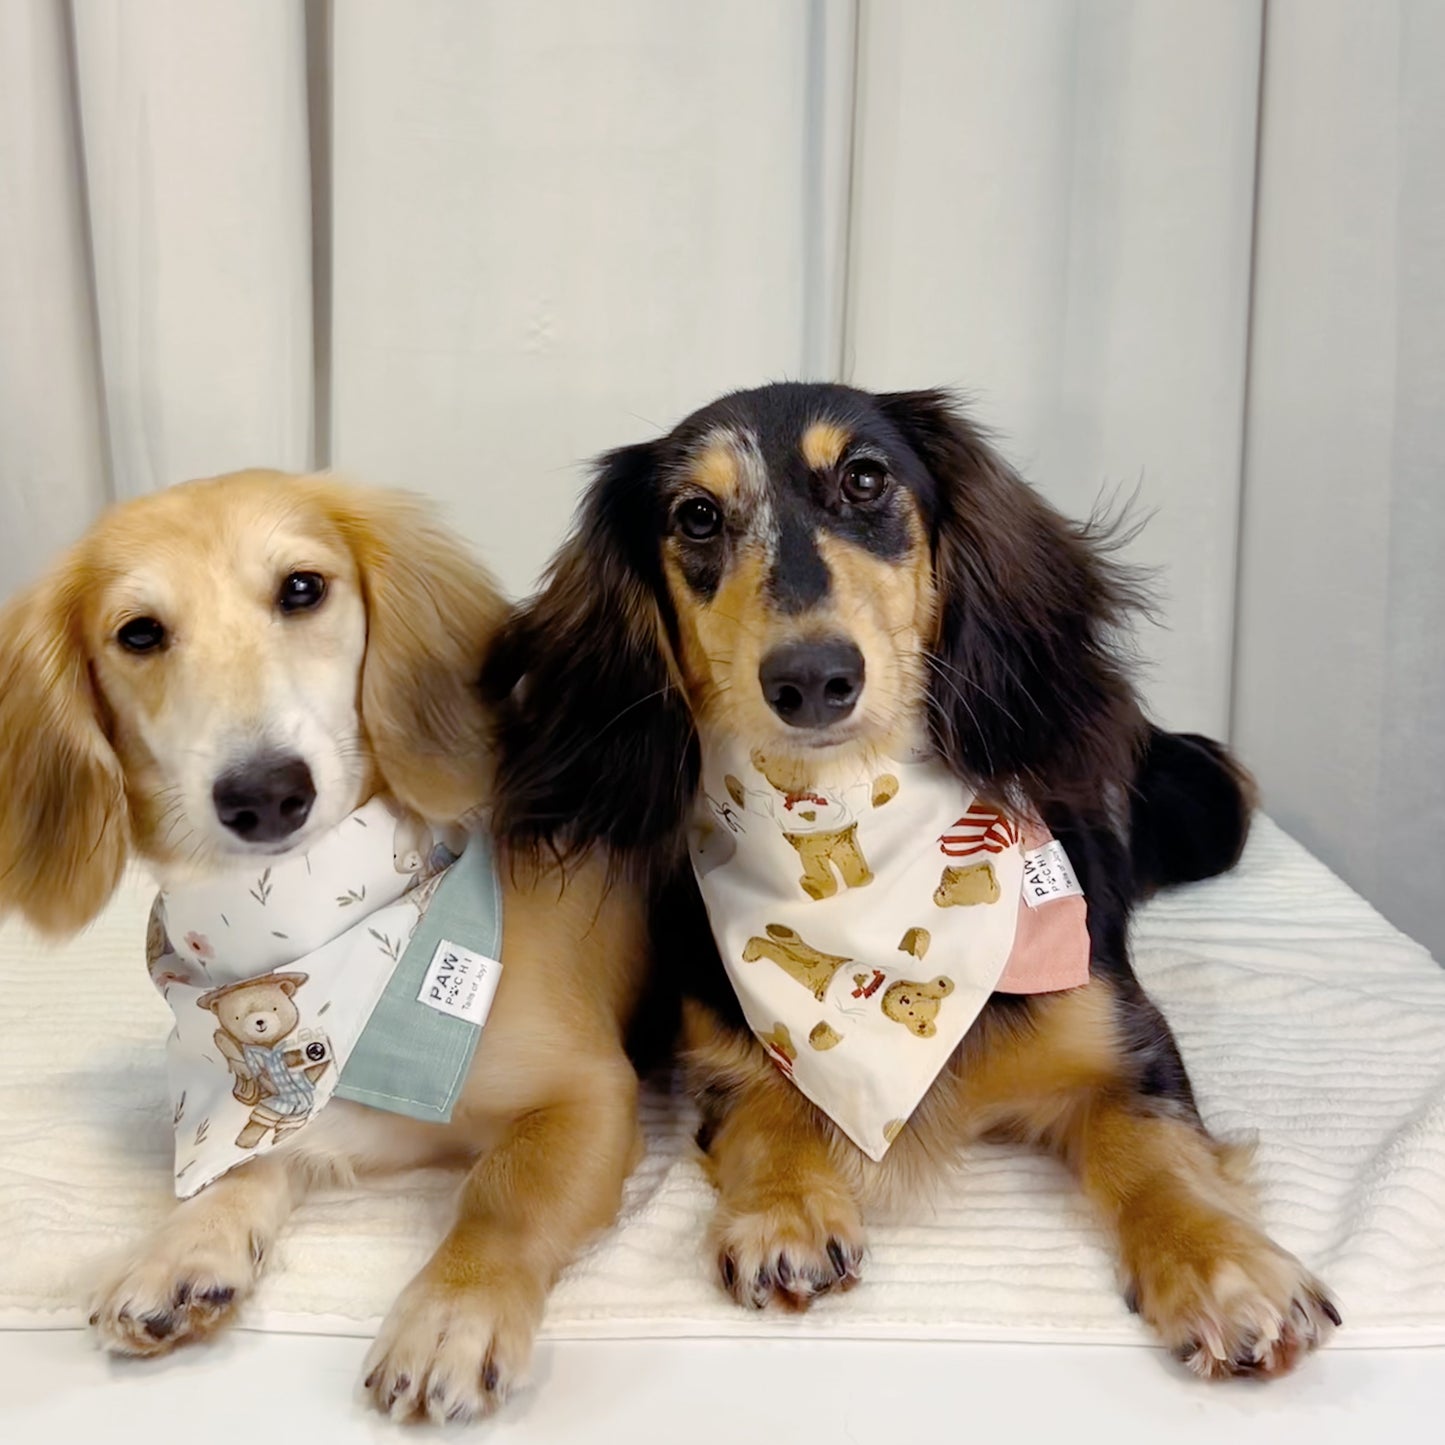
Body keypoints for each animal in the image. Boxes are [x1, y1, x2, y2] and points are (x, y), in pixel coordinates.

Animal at [197, 972, 331, 1149]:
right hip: (275, 1109)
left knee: (287, 1126)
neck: (269, 1046)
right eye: (237, 1017)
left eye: (275, 1008)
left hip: (296, 1114)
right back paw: (246, 1142)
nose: (260, 1021)